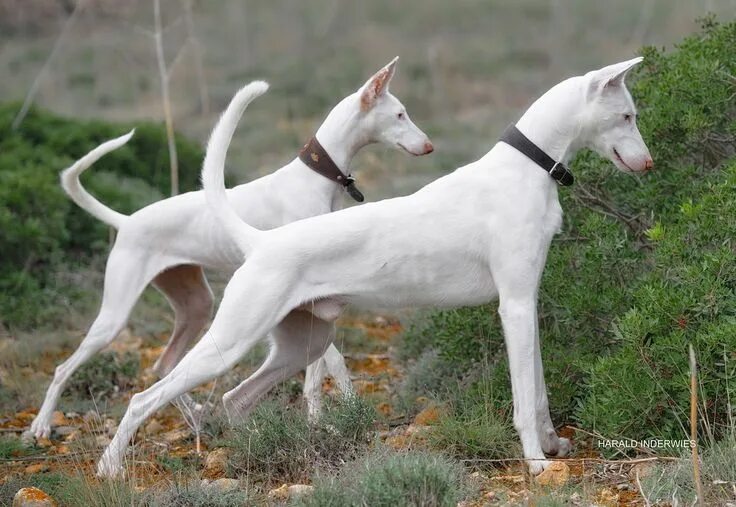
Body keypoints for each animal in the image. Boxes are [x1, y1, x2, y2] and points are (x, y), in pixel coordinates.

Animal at [28, 57, 432, 442]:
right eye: (400, 114)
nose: (429, 147)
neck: (314, 179)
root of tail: (126, 221)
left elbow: (324, 366)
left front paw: (334, 413)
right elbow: (326, 365)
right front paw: (329, 416)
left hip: (196, 305)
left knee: (164, 366)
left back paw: (194, 418)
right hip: (115, 316)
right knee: (66, 367)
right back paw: (41, 425)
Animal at [99, 57, 656, 478]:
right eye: (627, 116)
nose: (648, 164)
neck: (525, 169)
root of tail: (261, 242)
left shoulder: (528, 303)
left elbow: (537, 389)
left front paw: (553, 444)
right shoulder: (514, 306)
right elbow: (524, 396)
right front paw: (537, 462)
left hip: (302, 344)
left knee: (236, 400)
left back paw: (263, 454)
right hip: (230, 340)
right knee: (145, 397)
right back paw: (111, 468)